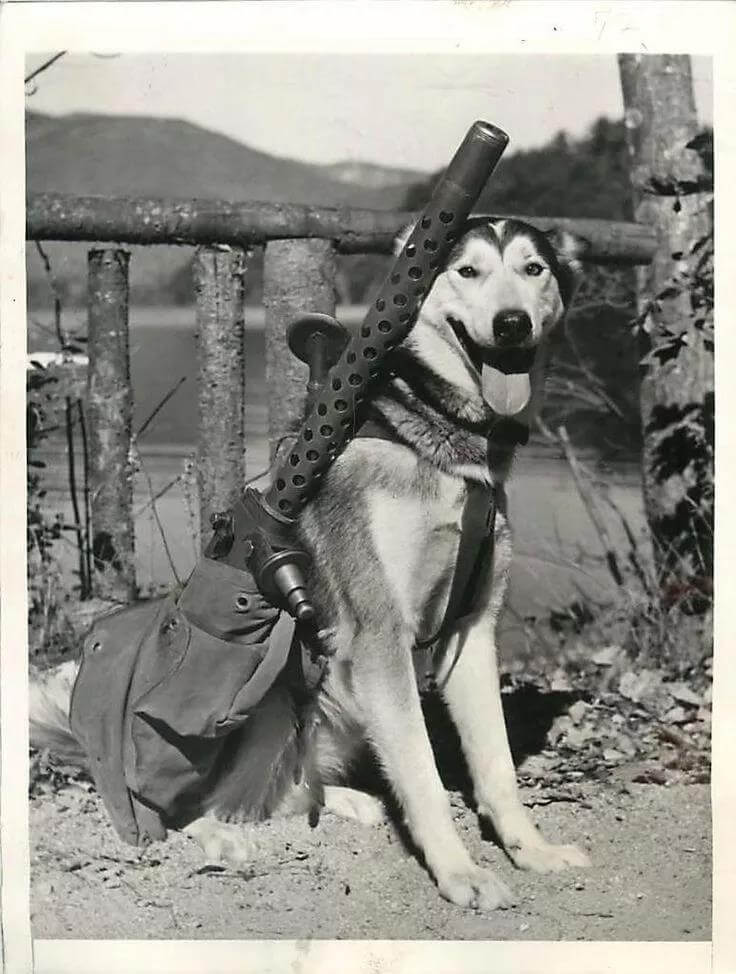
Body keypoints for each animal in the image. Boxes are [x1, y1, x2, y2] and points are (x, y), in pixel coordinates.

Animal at [30, 219, 592, 916]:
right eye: (468, 271)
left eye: (534, 269)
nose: (512, 323)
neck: (437, 443)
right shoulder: (380, 637)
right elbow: (425, 773)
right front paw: (460, 872)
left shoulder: (472, 629)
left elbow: (497, 767)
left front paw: (531, 850)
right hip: (271, 696)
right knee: (199, 803)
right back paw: (220, 836)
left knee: (292, 790)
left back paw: (345, 800)